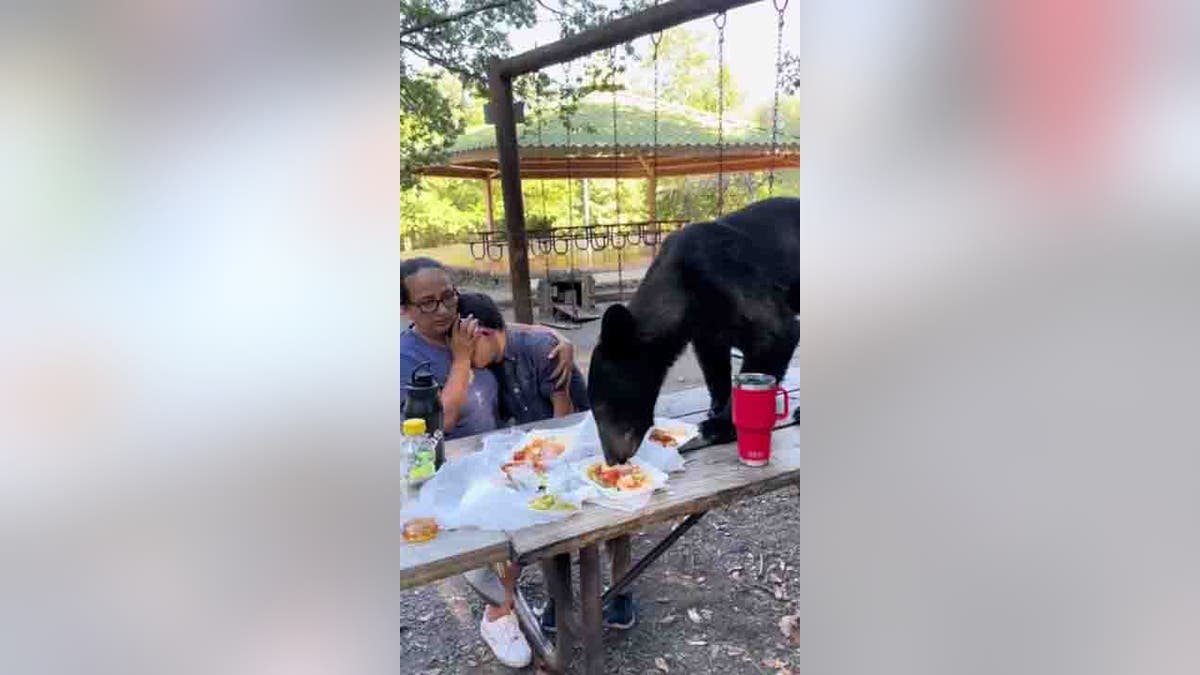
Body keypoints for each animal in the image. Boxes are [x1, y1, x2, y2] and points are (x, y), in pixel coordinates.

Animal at [588, 196, 796, 466]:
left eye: (602, 407)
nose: (613, 459)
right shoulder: (708, 325)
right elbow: (713, 358)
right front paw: (716, 406)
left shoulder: (728, 274)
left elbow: (776, 333)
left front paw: (718, 426)